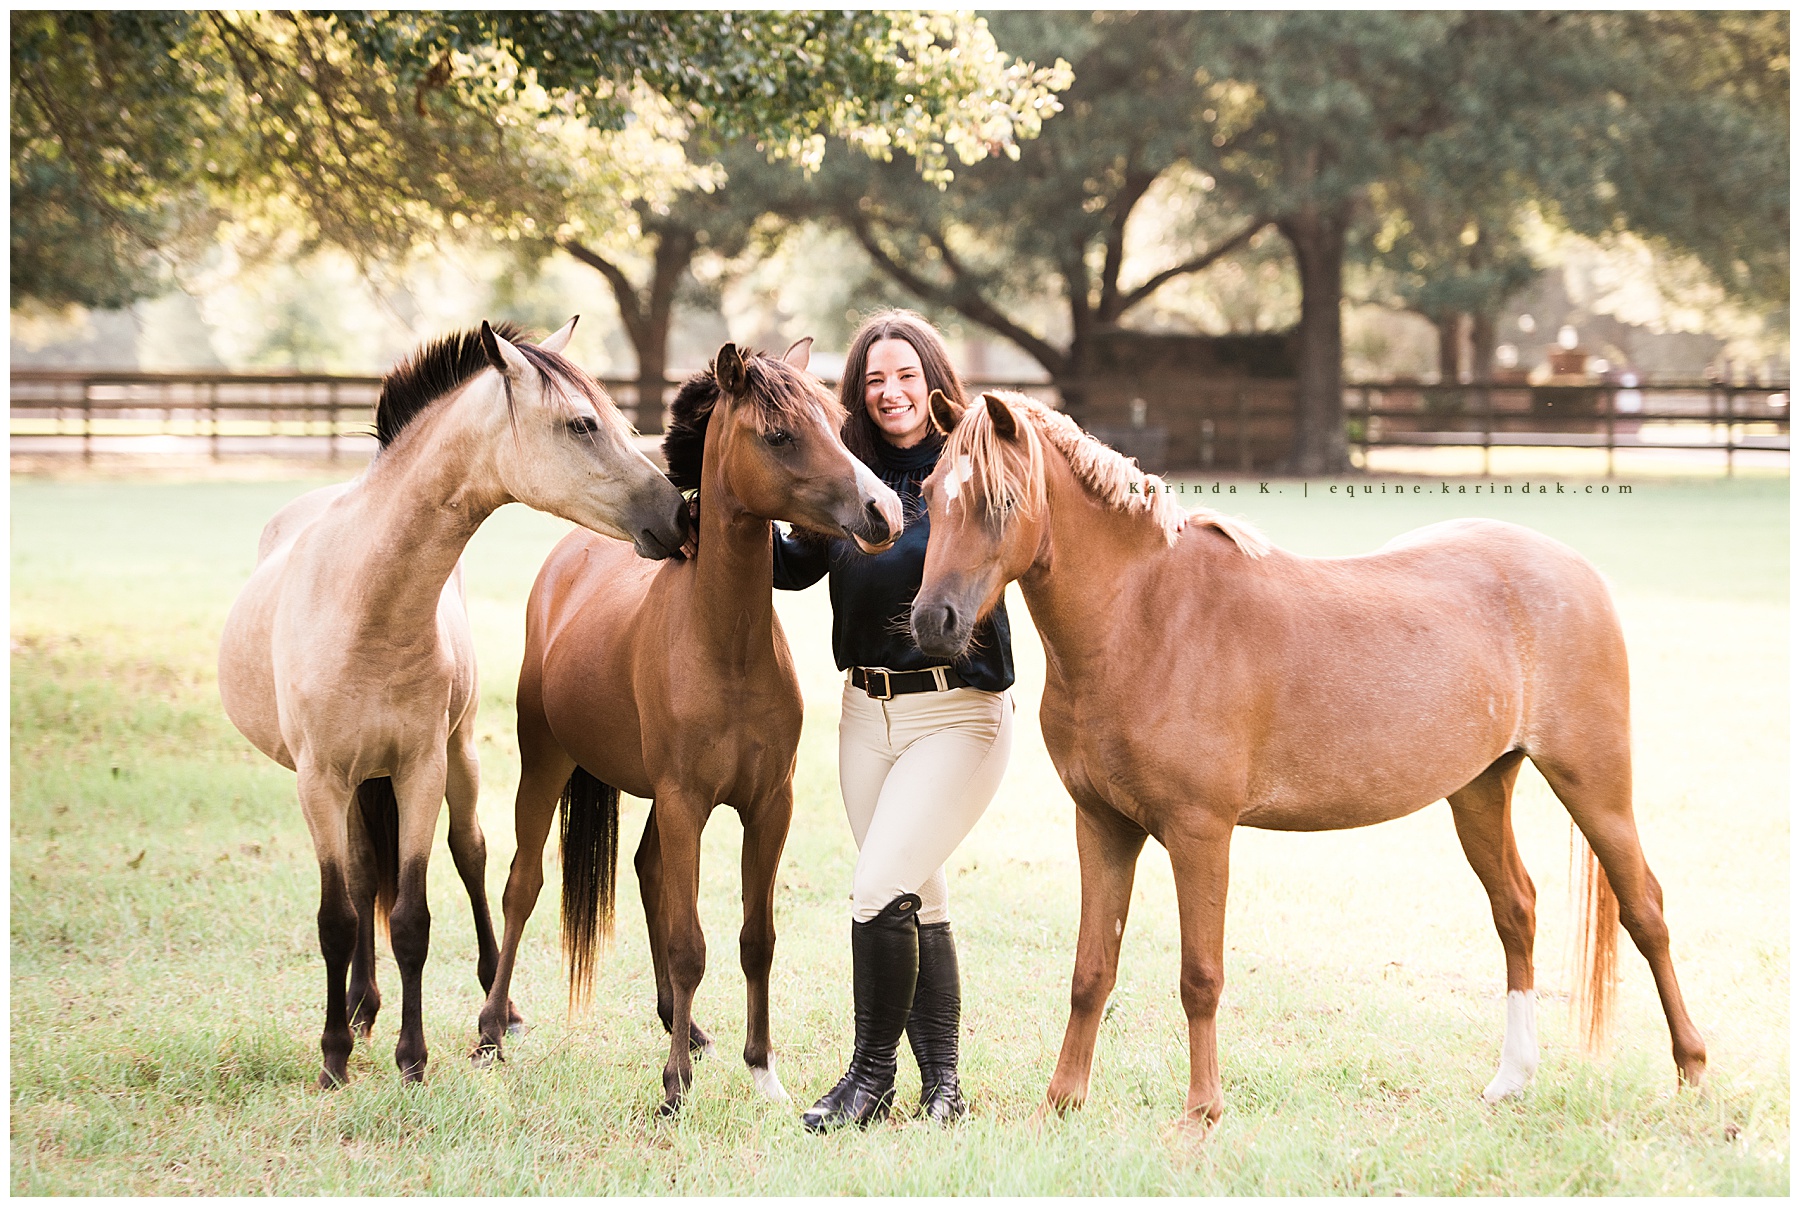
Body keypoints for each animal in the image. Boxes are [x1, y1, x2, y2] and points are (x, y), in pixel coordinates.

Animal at [218, 318, 689, 1087]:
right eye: (581, 424)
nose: (678, 515)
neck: (366, 602)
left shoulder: (420, 769)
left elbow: (413, 918)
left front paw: (412, 1058)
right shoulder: (320, 780)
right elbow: (336, 918)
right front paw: (334, 1057)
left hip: (454, 758)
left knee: (468, 856)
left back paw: (495, 1006)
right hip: (354, 783)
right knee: (361, 877)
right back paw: (360, 1005)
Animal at [472, 339, 904, 1115]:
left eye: (837, 423)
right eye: (779, 435)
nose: (881, 510)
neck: (725, 645)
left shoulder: (767, 806)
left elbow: (756, 937)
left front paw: (762, 1070)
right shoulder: (684, 802)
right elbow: (688, 943)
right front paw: (675, 1087)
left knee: (646, 871)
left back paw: (686, 1024)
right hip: (546, 762)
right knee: (522, 884)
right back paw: (492, 1030)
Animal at [908, 389, 1706, 1127]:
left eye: (999, 500)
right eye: (929, 494)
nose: (933, 622)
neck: (1146, 617)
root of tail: (1575, 568)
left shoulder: (1201, 834)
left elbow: (1200, 975)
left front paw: (1202, 1113)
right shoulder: (1102, 826)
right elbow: (1090, 969)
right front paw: (1064, 1102)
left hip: (1593, 781)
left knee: (1646, 910)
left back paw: (1693, 1072)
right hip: (1480, 788)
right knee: (1516, 910)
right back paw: (1513, 1077)